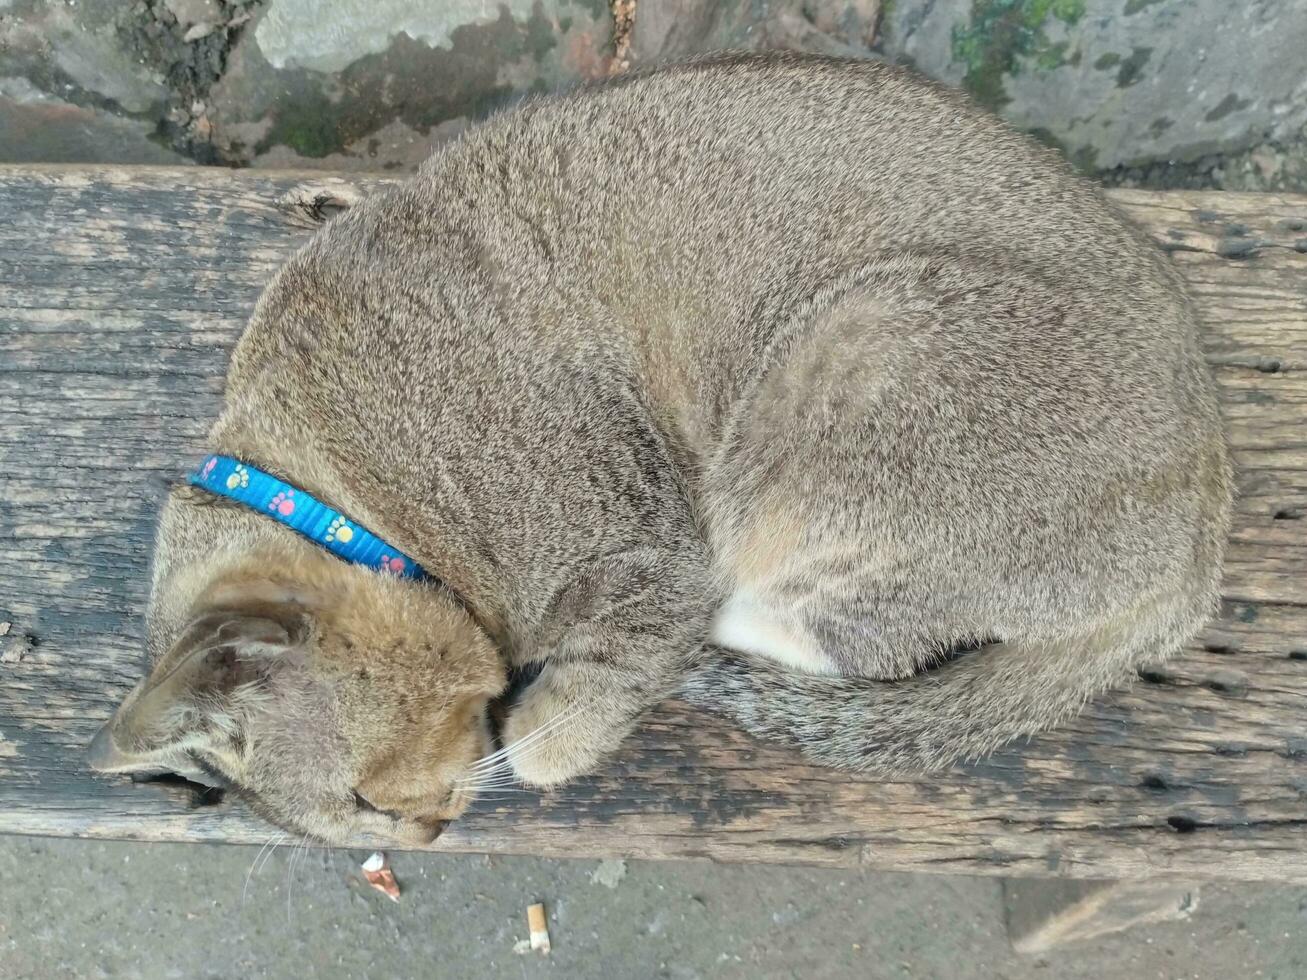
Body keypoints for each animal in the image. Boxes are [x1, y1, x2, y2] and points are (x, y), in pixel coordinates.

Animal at [86, 53, 1228, 846]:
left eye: (367, 798)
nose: (427, 832)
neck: (345, 485)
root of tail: (1198, 549)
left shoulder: (636, 540)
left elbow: (559, 730)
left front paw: (540, 725)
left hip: (857, 355)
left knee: (836, 632)